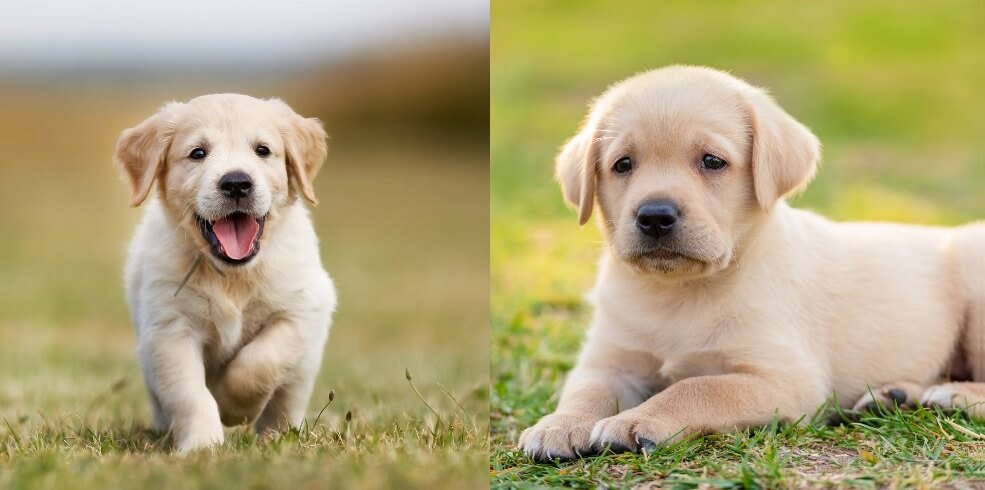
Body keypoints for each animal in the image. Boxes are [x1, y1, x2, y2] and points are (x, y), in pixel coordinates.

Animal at [114, 94, 336, 454]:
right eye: (197, 153)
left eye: (262, 150)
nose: (236, 183)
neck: (234, 276)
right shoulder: (169, 330)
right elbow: (190, 394)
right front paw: (203, 445)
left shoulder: (301, 310)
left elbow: (261, 361)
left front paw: (233, 407)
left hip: (304, 365)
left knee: (286, 399)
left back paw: (278, 436)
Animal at [520, 64, 980, 460]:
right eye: (623, 165)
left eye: (712, 161)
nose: (654, 216)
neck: (679, 293)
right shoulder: (611, 359)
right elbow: (585, 390)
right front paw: (559, 425)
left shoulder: (786, 379)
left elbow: (698, 387)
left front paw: (636, 420)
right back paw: (895, 396)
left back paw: (954, 395)